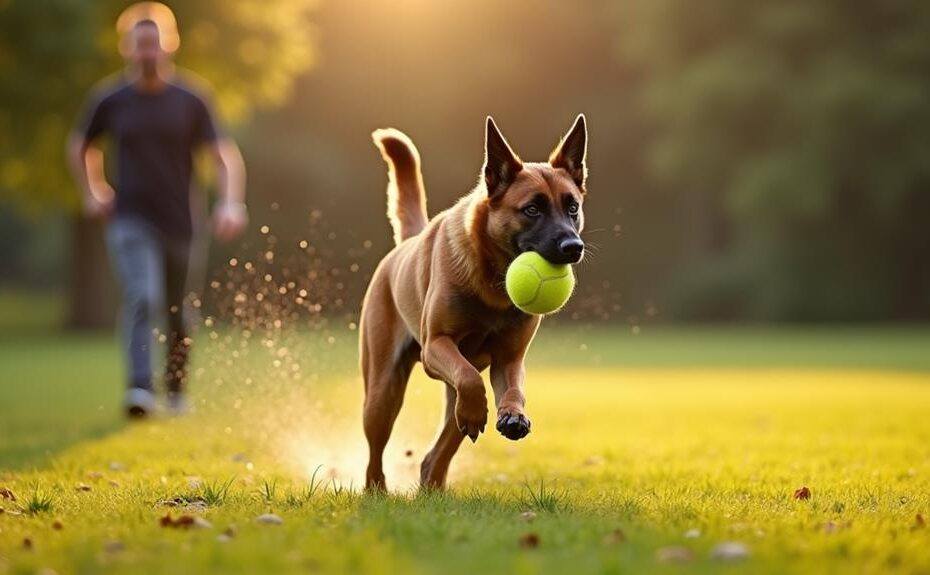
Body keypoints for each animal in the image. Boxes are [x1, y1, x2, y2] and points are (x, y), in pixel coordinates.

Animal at [358, 116, 584, 490]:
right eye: (532, 209)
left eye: (573, 208)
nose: (573, 247)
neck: (495, 283)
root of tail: (407, 244)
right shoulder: (436, 345)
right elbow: (468, 379)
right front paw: (482, 411)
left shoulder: (509, 359)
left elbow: (512, 389)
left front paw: (513, 415)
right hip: (382, 393)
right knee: (377, 452)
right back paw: (377, 490)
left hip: (443, 407)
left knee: (436, 454)